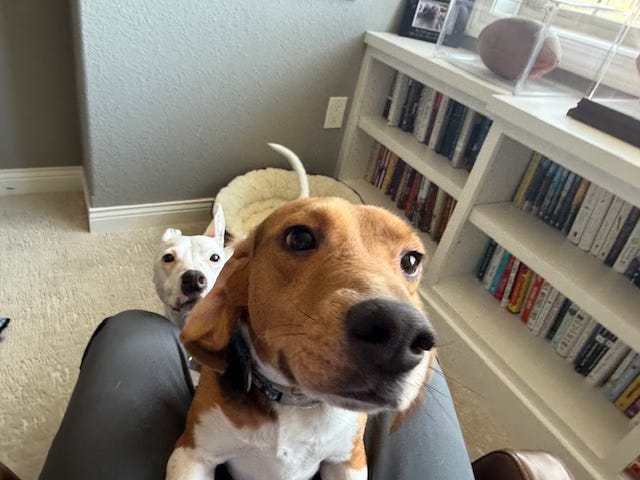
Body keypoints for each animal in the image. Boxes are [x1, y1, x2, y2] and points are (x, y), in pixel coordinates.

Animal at [166, 146, 436, 480]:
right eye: (300, 238)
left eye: (411, 260)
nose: (400, 332)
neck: (295, 403)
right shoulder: (192, 452)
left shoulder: (350, 460)